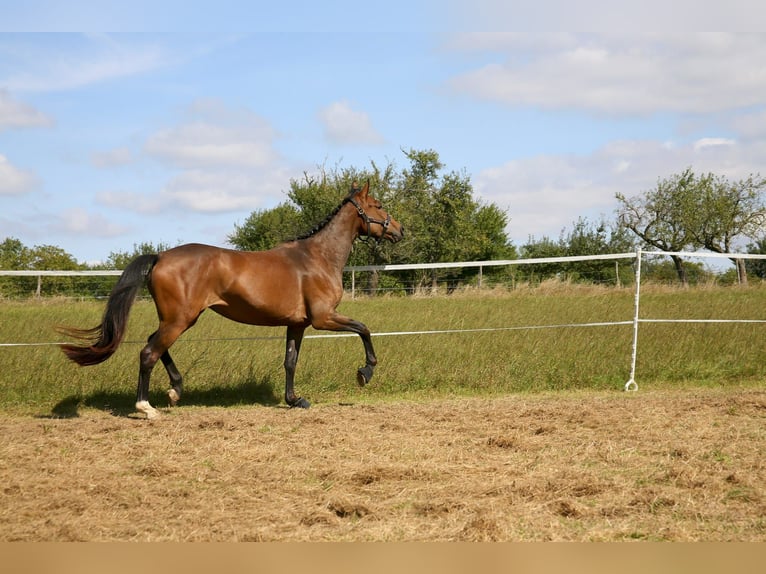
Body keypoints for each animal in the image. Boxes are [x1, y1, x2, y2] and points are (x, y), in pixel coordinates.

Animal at [57, 182, 404, 420]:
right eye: (378, 204)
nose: (399, 230)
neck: (317, 258)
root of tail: (160, 256)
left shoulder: (298, 324)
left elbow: (290, 361)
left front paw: (295, 400)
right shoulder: (323, 318)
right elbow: (364, 328)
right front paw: (365, 372)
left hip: (177, 319)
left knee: (154, 344)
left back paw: (176, 389)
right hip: (180, 319)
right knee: (148, 352)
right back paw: (147, 407)